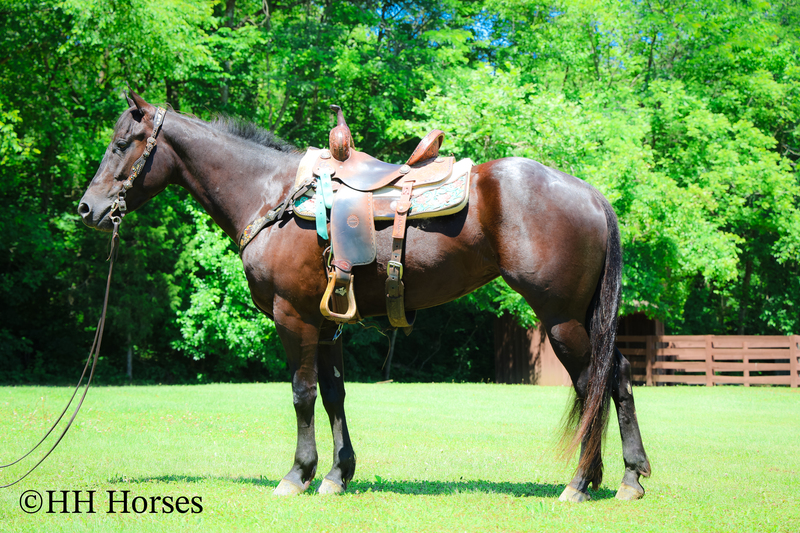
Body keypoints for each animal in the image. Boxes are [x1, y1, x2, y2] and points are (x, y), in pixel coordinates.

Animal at [78, 91, 651, 502]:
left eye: (122, 144)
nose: (87, 208)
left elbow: (302, 393)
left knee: (594, 384)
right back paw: (628, 477)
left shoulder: (294, 318)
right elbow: (334, 394)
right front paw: (336, 474)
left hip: (561, 319)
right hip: (580, 319)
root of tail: (589, 192)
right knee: (616, 378)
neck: (270, 195)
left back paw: (580, 483)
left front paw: (297, 474)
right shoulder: (327, 321)